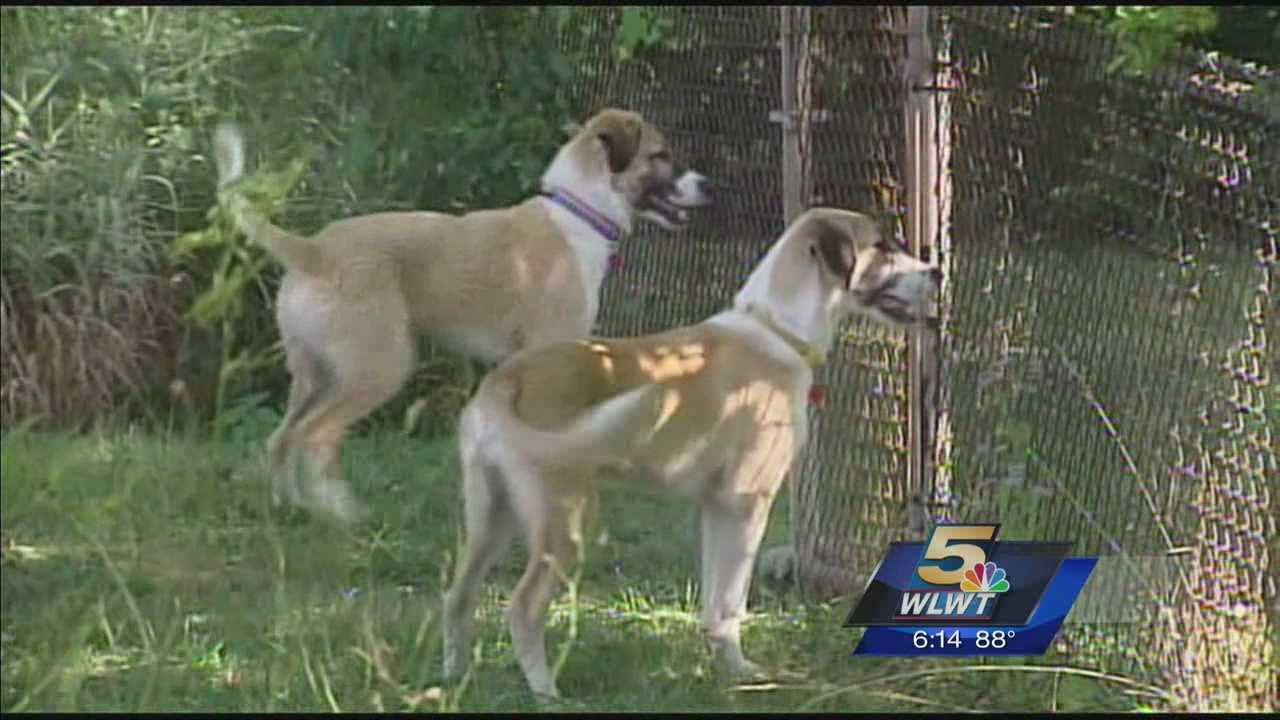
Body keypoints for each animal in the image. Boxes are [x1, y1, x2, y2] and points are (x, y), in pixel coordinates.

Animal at [208, 107, 711, 520]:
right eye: (660, 155)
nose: (708, 186)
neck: (579, 212)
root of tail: (313, 251)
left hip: (316, 375)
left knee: (283, 437)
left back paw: (290, 508)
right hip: (377, 368)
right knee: (315, 436)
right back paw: (339, 513)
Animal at [442, 206, 942, 696]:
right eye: (880, 246)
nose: (936, 272)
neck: (777, 331)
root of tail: (505, 381)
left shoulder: (715, 507)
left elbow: (713, 603)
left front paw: (720, 666)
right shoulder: (747, 504)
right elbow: (731, 603)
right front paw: (741, 674)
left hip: (492, 519)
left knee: (458, 597)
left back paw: (455, 679)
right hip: (565, 525)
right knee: (523, 607)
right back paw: (546, 692)